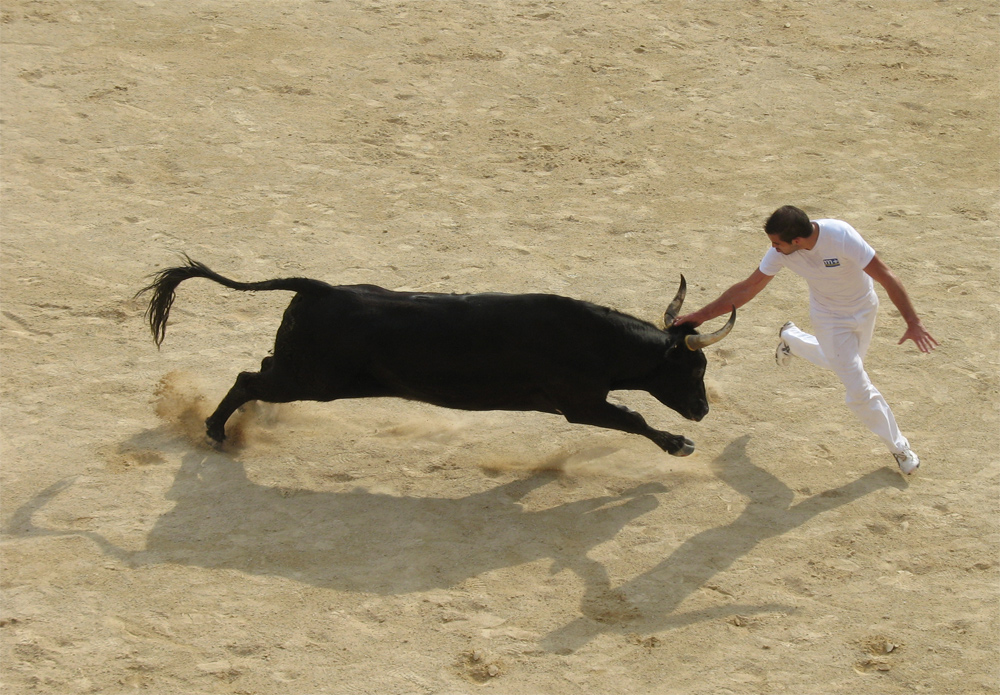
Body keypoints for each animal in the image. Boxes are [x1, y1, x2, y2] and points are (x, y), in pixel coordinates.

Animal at [139, 256, 736, 456]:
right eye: (696, 366)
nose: (703, 411)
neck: (594, 339)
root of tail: (321, 287)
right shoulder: (581, 403)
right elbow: (633, 416)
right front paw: (678, 444)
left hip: (302, 373)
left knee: (255, 375)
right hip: (310, 379)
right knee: (247, 378)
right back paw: (215, 432)